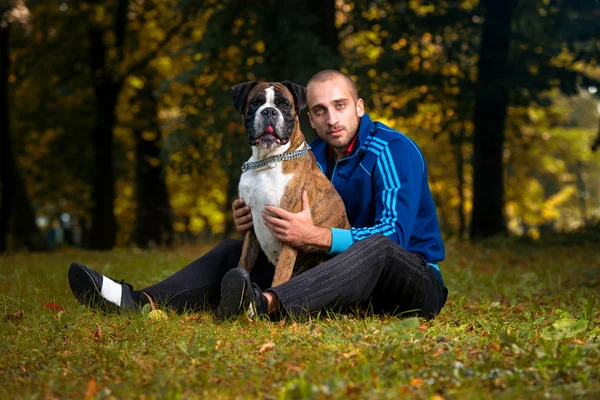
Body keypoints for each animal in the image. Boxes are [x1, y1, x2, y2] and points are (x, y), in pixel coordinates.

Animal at [231, 80, 352, 288]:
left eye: (284, 105)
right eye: (255, 103)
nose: (269, 111)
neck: (266, 162)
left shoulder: (289, 232)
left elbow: (280, 277)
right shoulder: (251, 227)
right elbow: (243, 263)